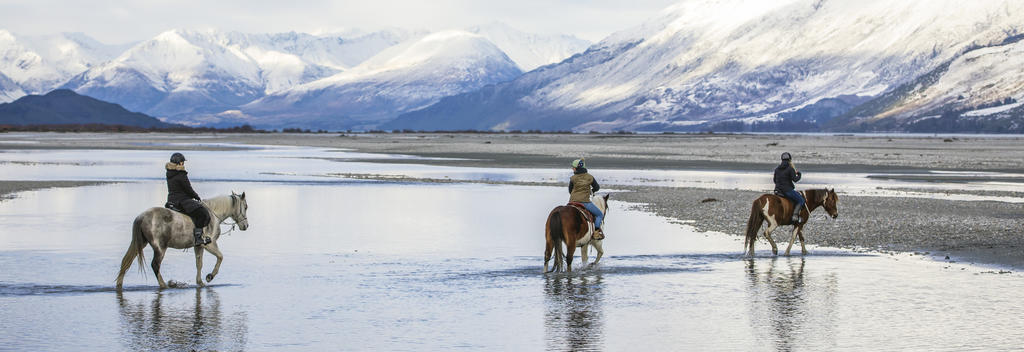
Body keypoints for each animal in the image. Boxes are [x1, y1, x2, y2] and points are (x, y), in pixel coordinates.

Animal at [115, 192, 247, 288]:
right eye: (245, 207)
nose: (246, 226)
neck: (213, 215)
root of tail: (141, 217)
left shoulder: (198, 246)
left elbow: (199, 264)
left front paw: (200, 282)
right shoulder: (209, 244)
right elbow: (220, 257)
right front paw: (210, 276)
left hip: (141, 243)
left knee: (126, 261)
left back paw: (119, 283)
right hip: (160, 248)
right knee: (155, 265)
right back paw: (164, 285)